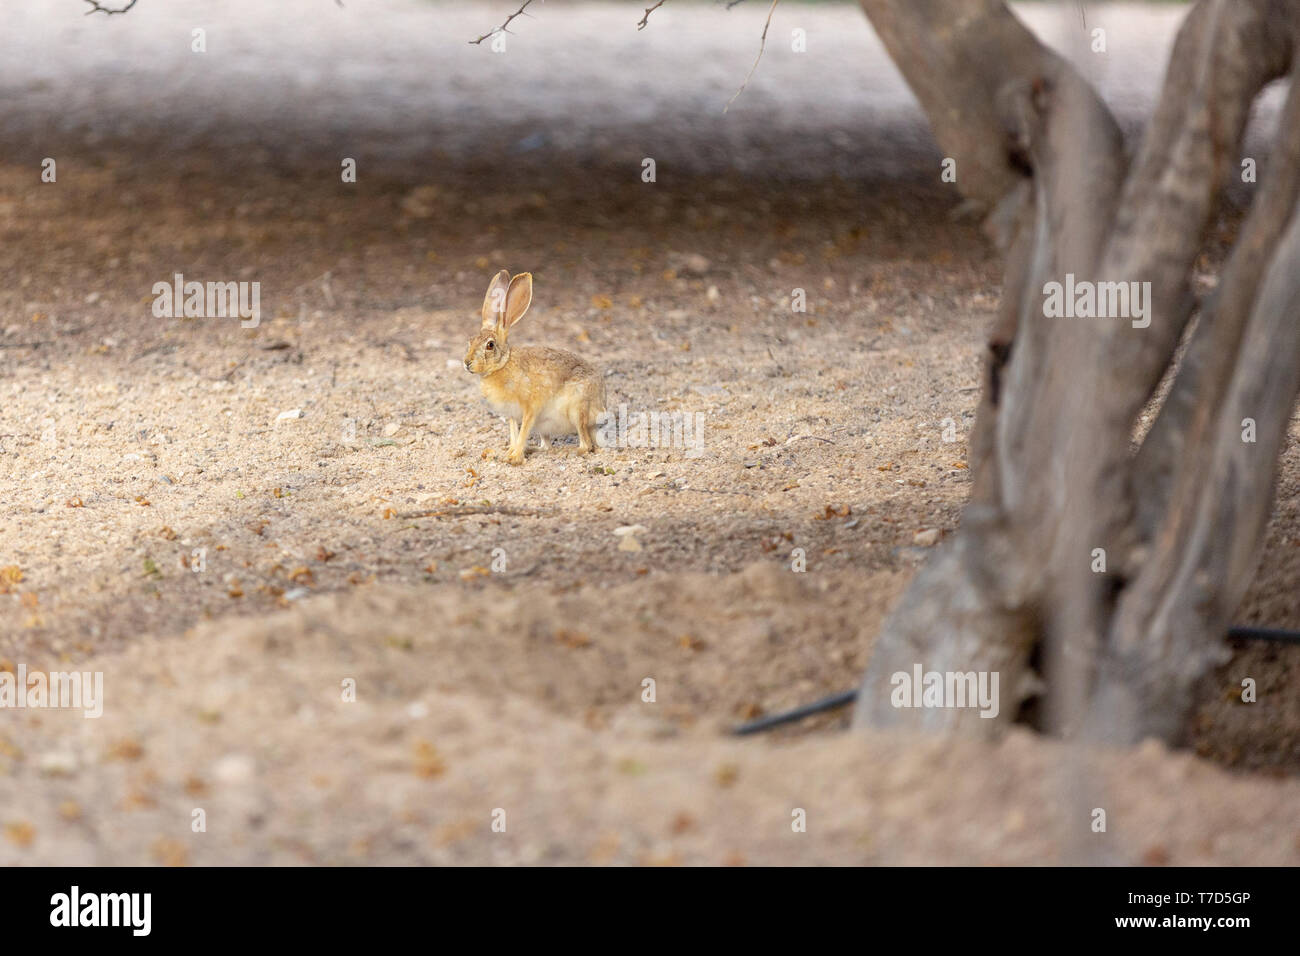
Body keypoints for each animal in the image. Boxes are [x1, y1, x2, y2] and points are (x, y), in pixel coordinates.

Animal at [463, 270, 607, 465]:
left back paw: (567, 451)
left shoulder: (530, 408)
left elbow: (524, 430)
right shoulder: (511, 414)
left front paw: (514, 458)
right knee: (546, 446)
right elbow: (514, 432)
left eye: (490, 345)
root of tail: (601, 404)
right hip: (546, 426)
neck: (503, 364)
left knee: (586, 445)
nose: (467, 363)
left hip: (577, 410)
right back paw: (532, 449)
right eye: (470, 341)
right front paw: (509, 452)